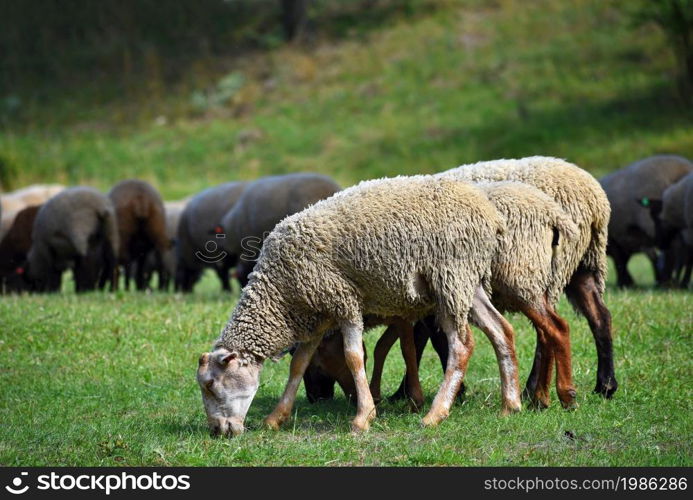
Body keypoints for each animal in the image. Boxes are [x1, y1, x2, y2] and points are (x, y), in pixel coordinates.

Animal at [438, 156, 616, 398]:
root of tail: (594, 199)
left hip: (539, 272)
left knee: (547, 331)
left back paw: (534, 391)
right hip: (583, 265)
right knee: (599, 317)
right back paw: (605, 385)